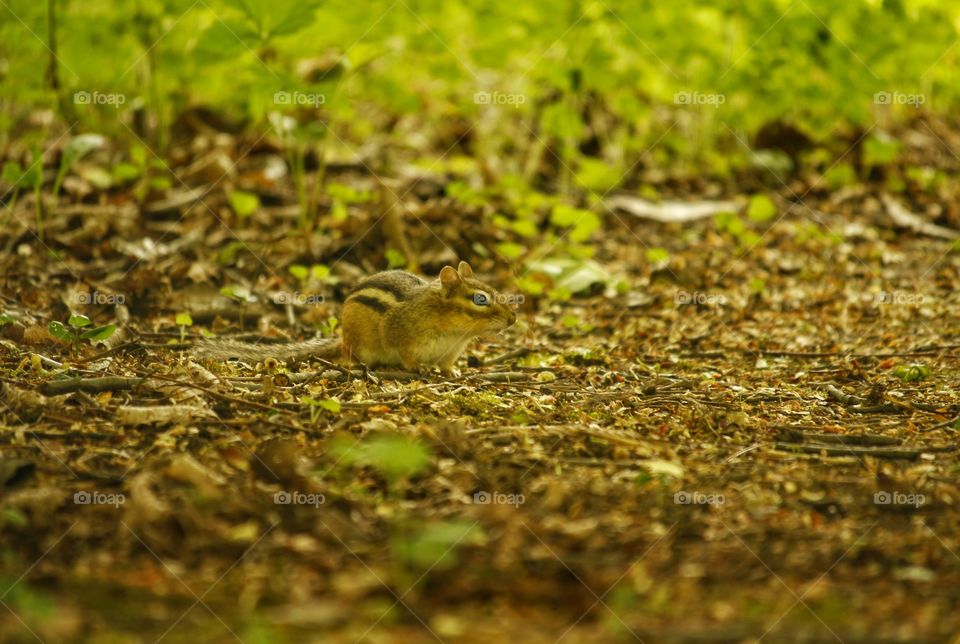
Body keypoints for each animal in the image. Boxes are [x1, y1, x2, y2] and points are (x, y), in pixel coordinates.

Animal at [190, 261, 517, 374]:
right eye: (480, 299)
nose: (513, 318)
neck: (453, 331)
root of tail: (343, 340)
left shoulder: (450, 351)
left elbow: (448, 366)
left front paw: (454, 374)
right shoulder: (400, 334)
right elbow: (406, 354)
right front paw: (418, 368)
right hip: (360, 343)